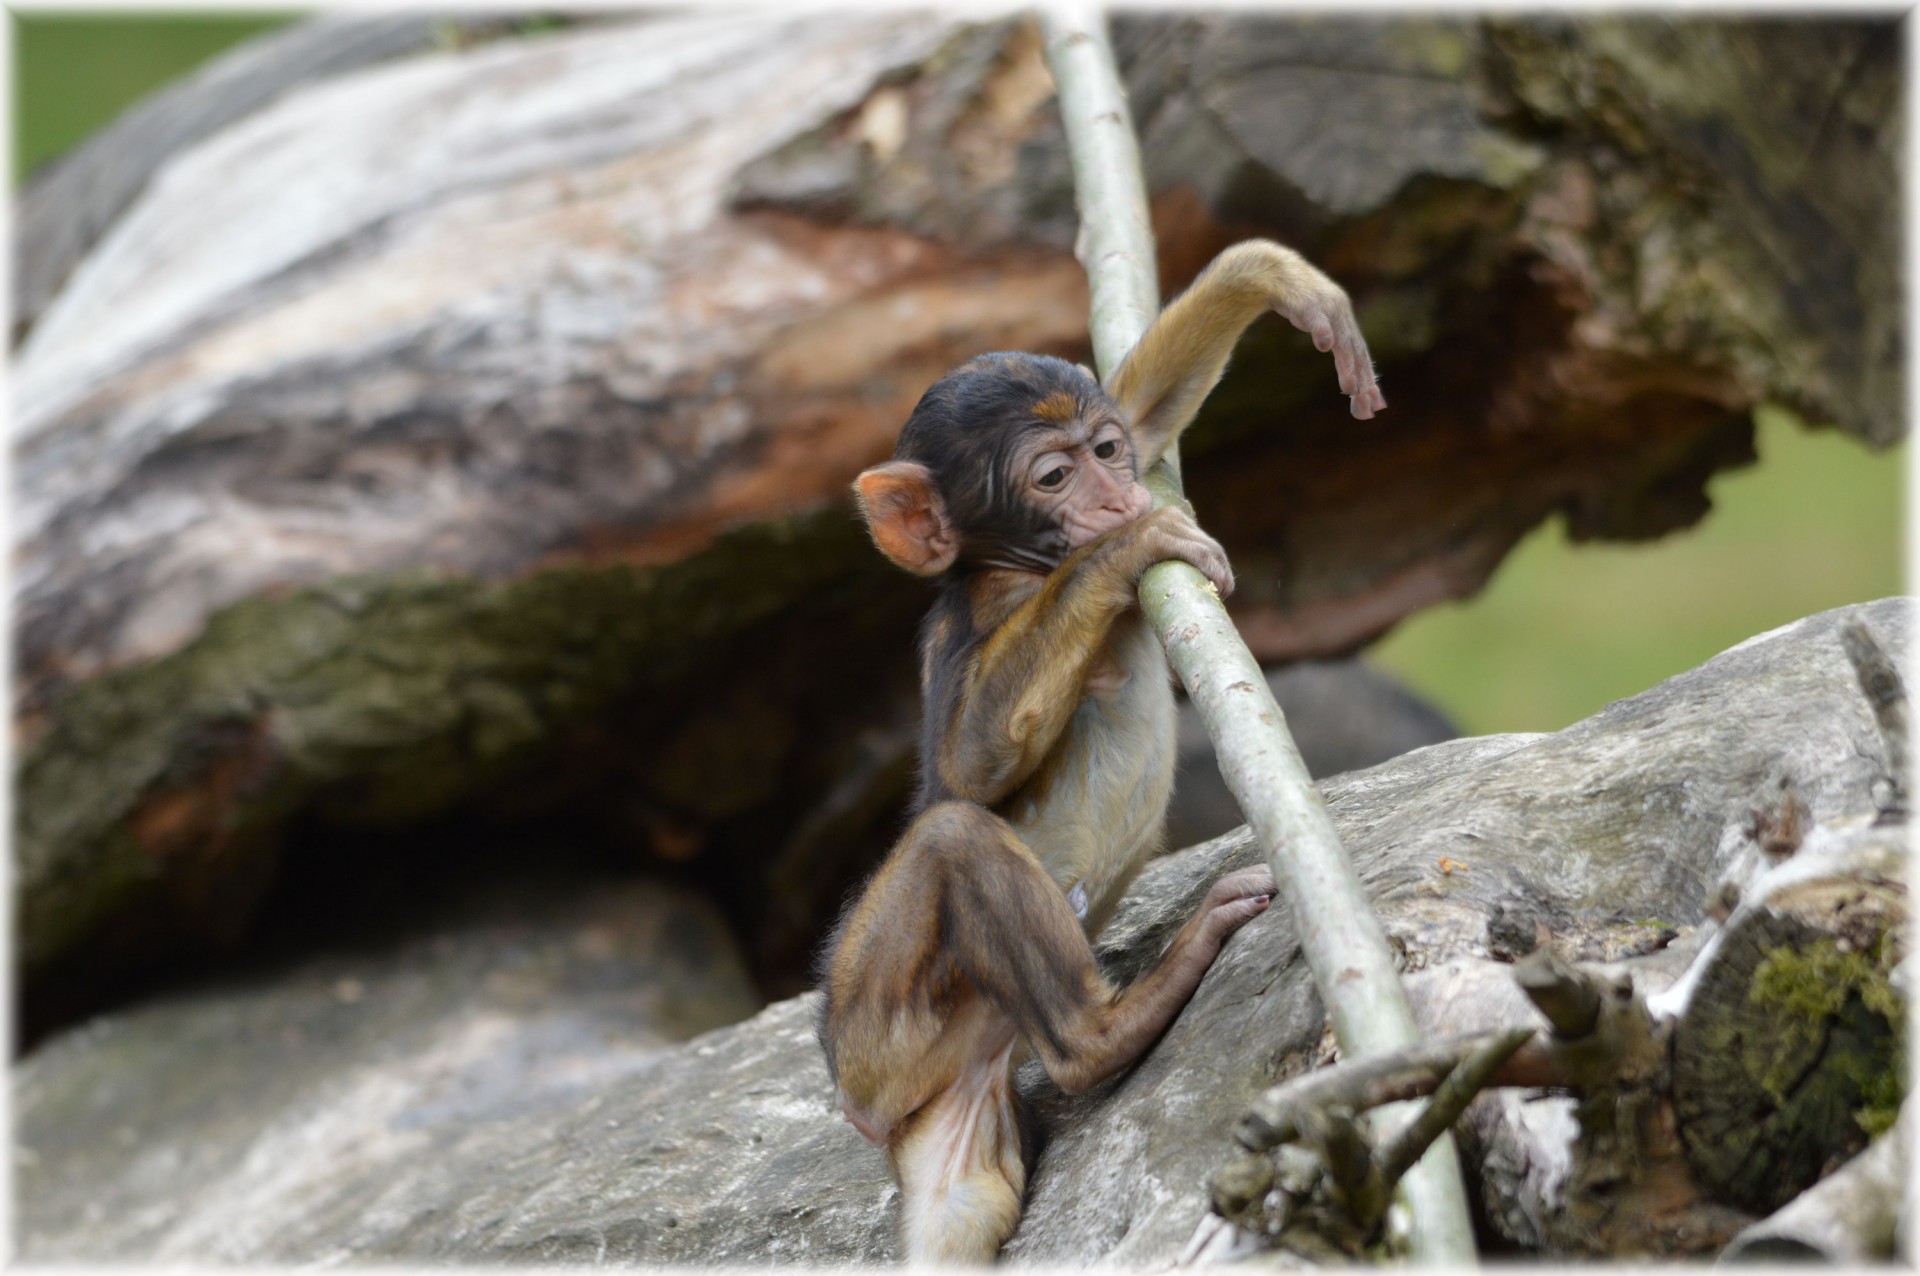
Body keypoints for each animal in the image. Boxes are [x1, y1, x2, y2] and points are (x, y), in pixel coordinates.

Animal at [817, 241, 1390, 1266]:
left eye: (1107, 450)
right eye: (1054, 477)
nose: (1117, 493)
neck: (1021, 570)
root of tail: (870, 1116)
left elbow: (1151, 402)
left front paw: (1278, 281)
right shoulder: (977, 621)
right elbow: (965, 767)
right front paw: (1129, 544)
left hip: (957, 1084)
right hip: (872, 1032)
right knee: (952, 839)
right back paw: (1107, 1029)